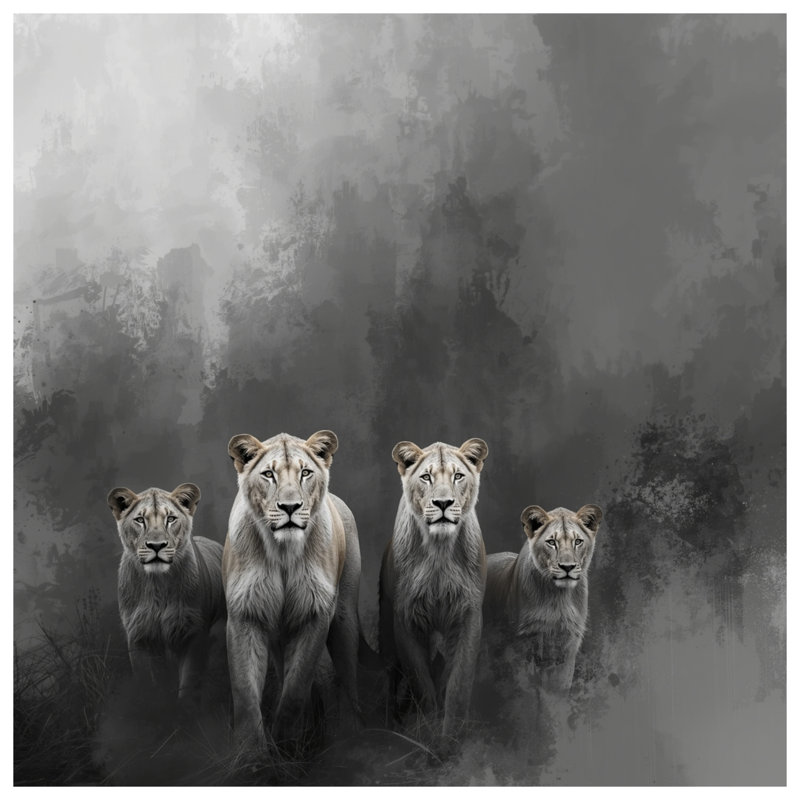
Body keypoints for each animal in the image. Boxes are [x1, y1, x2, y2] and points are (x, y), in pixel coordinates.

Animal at [107, 483, 225, 700]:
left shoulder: (193, 633)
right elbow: (149, 683)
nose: (156, 546)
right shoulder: (139, 636)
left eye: (170, 519)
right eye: (140, 520)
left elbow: (188, 684)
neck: (157, 584)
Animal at [222, 430, 367, 749]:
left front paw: (286, 741)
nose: (290, 508)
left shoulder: (316, 614)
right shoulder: (244, 613)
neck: (283, 552)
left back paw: (351, 733)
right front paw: (252, 752)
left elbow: (296, 689)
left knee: (349, 680)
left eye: (305, 473)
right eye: (268, 474)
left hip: (344, 618)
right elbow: (245, 692)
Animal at [379, 437, 489, 746]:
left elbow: (457, 684)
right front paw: (427, 734)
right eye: (426, 477)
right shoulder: (404, 619)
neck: (439, 549)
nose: (442, 503)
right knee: (391, 674)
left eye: (458, 476)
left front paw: (452, 738)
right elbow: (421, 682)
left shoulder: (468, 616)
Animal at [483, 504, 603, 694]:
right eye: (551, 542)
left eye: (578, 541)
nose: (567, 567)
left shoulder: (567, 648)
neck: (558, 598)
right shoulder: (522, 646)